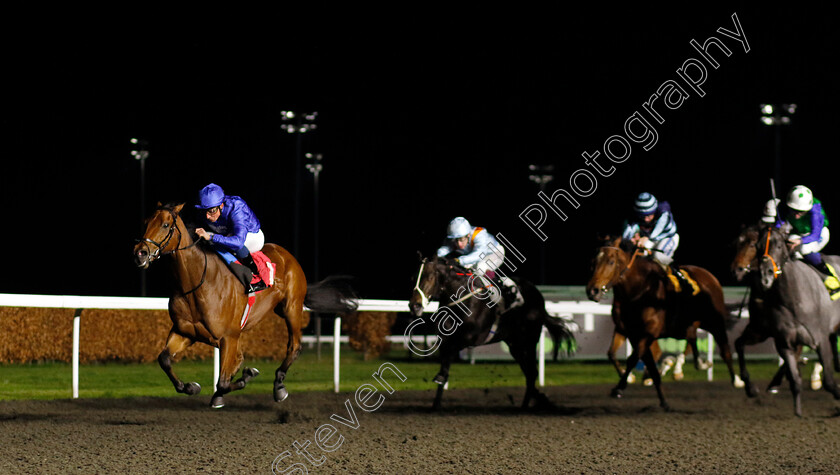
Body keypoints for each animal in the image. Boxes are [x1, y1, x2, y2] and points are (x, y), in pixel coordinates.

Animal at [133, 203, 356, 408]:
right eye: (145, 222)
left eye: (165, 224)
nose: (140, 252)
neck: (196, 283)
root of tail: (286, 255)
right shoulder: (185, 332)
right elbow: (164, 359)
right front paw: (191, 386)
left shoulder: (228, 336)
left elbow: (223, 382)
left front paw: (245, 377)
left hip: (291, 308)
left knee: (294, 346)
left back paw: (279, 386)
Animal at [408, 256, 576, 410]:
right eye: (413, 277)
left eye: (429, 277)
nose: (414, 306)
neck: (462, 300)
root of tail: (539, 298)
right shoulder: (446, 339)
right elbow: (445, 364)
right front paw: (436, 403)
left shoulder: (471, 338)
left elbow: (450, 353)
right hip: (515, 345)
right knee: (529, 373)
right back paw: (535, 400)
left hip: (529, 340)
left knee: (532, 372)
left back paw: (526, 406)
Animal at [588, 237, 740, 410]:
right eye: (593, 262)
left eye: (611, 262)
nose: (592, 290)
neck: (639, 290)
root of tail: (709, 276)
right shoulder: (628, 331)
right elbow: (615, 354)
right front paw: (662, 399)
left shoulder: (648, 332)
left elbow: (634, 358)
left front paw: (620, 387)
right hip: (688, 325)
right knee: (691, 339)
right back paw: (692, 365)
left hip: (714, 322)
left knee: (725, 351)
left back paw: (737, 381)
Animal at [752, 225, 840, 414]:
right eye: (757, 246)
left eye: (779, 246)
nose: (765, 275)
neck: (794, 298)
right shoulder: (785, 343)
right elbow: (795, 380)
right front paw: (798, 412)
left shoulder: (820, 340)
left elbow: (829, 382)